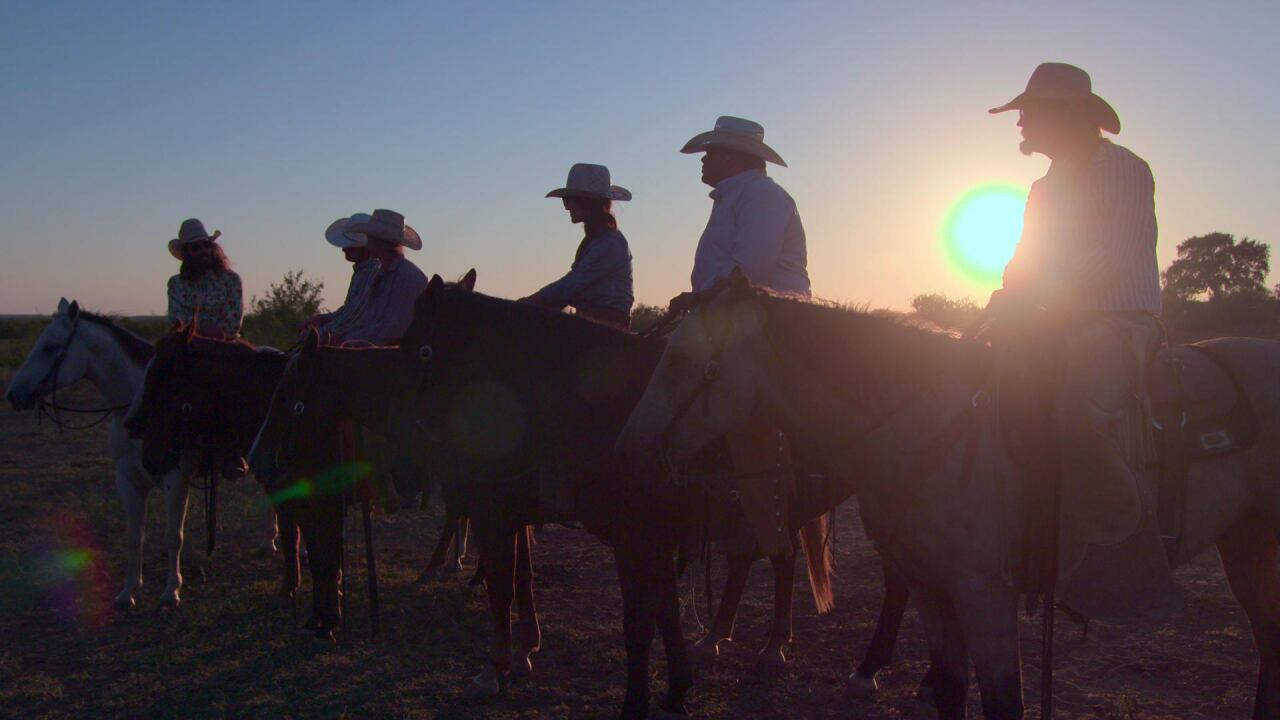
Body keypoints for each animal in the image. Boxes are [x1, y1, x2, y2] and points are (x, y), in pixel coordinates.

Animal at [4, 295, 192, 604]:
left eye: (49, 346)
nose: (13, 395)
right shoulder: (128, 481)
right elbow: (134, 537)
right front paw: (128, 592)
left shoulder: (174, 478)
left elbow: (173, 535)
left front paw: (170, 591)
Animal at [616, 271, 1280, 712]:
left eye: (686, 362)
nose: (628, 449)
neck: (927, 421)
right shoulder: (933, 589)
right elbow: (952, 692)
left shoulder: (985, 596)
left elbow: (1002, 702)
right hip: (1246, 544)